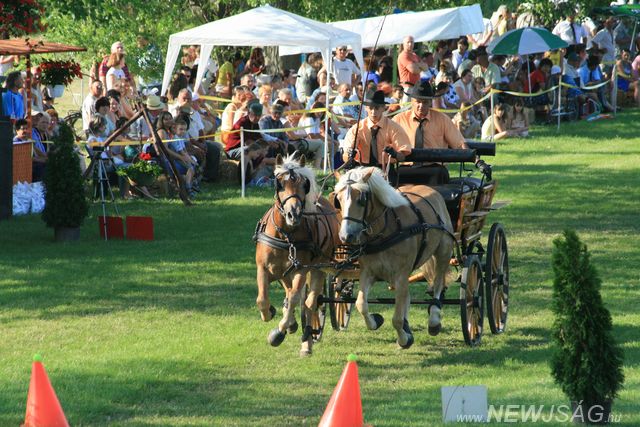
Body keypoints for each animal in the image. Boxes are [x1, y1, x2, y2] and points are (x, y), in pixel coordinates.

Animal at [253, 154, 340, 355]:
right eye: (280, 184)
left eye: (303, 184)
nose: (294, 214)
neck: (285, 236)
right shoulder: (263, 268)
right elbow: (262, 299)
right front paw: (271, 312)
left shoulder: (301, 270)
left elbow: (295, 298)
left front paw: (280, 329)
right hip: (285, 272)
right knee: (293, 293)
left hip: (318, 268)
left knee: (310, 302)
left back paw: (307, 341)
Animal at [331, 167, 455, 348]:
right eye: (338, 199)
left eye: (361, 199)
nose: (346, 235)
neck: (385, 230)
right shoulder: (368, 273)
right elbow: (361, 304)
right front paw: (376, 320)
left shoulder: (401, 274)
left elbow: (396, 318)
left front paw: (404, 339)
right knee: (406, 296)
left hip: (443, 252)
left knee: (438, 283)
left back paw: (434, 319)